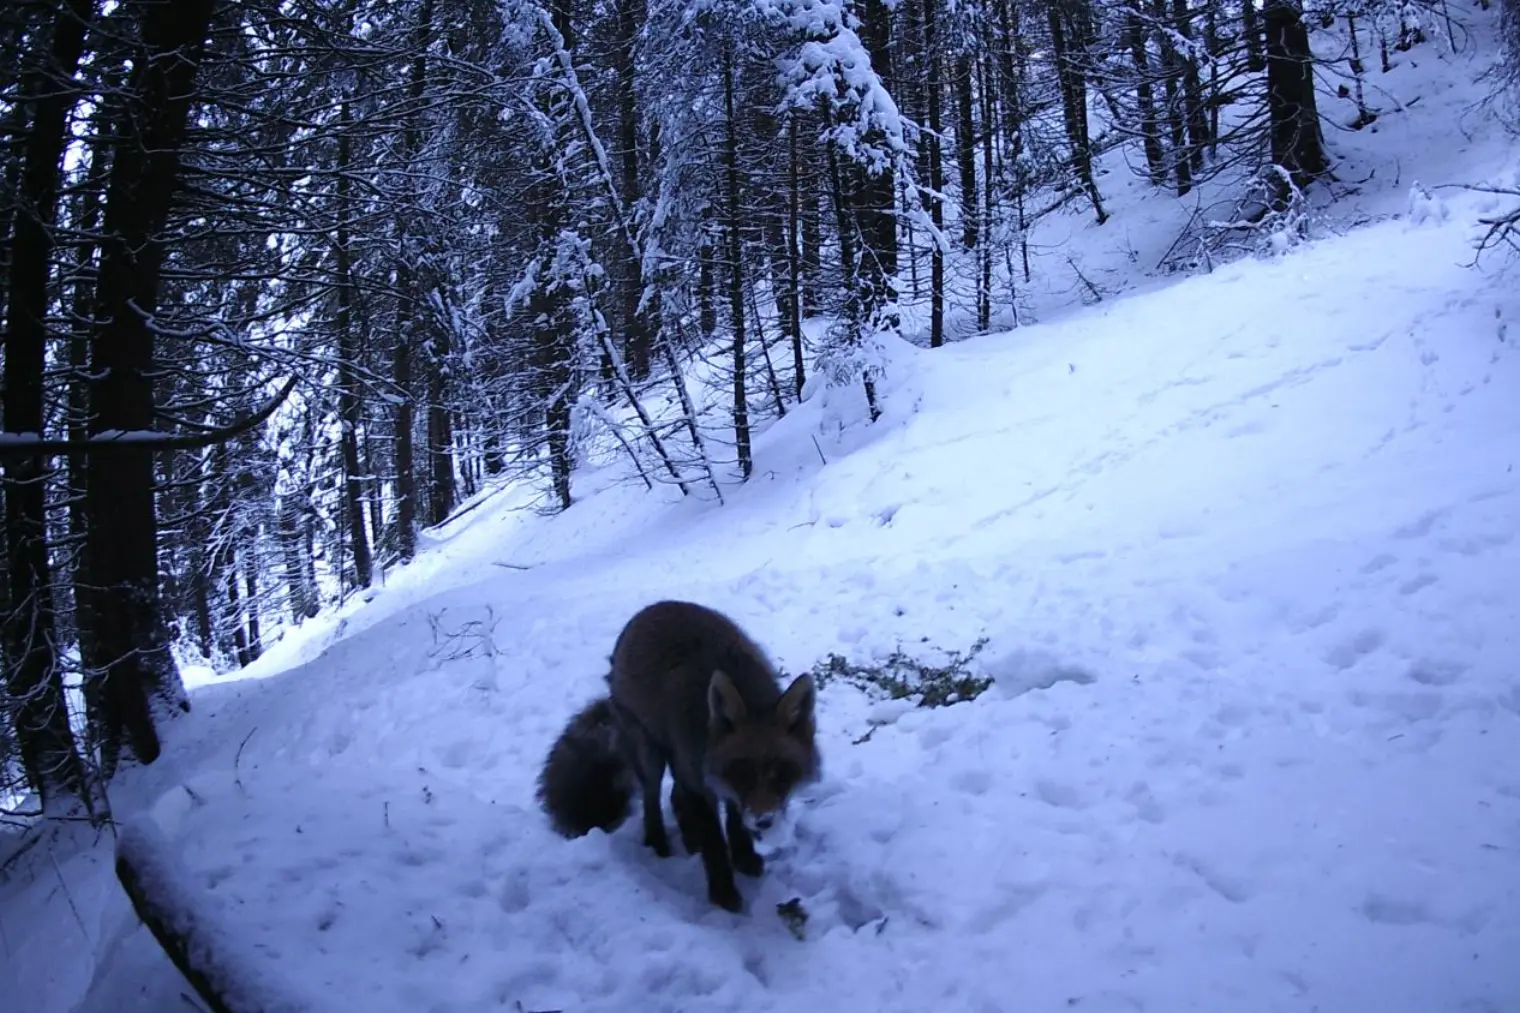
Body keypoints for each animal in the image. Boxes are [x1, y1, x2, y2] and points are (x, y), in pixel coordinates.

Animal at [536, 599, 820, 912]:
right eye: (742, 774)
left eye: (782, 773)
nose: (764, 821)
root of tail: (655, 606)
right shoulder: (701, 780)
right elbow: (714, 842)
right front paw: (723, 894)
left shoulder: (713, 780)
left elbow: (734, 823)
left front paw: (743, 858)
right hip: (651, 755)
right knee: (652, 800)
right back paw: (658, 843)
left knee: (675, 797)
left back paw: (689, 837)